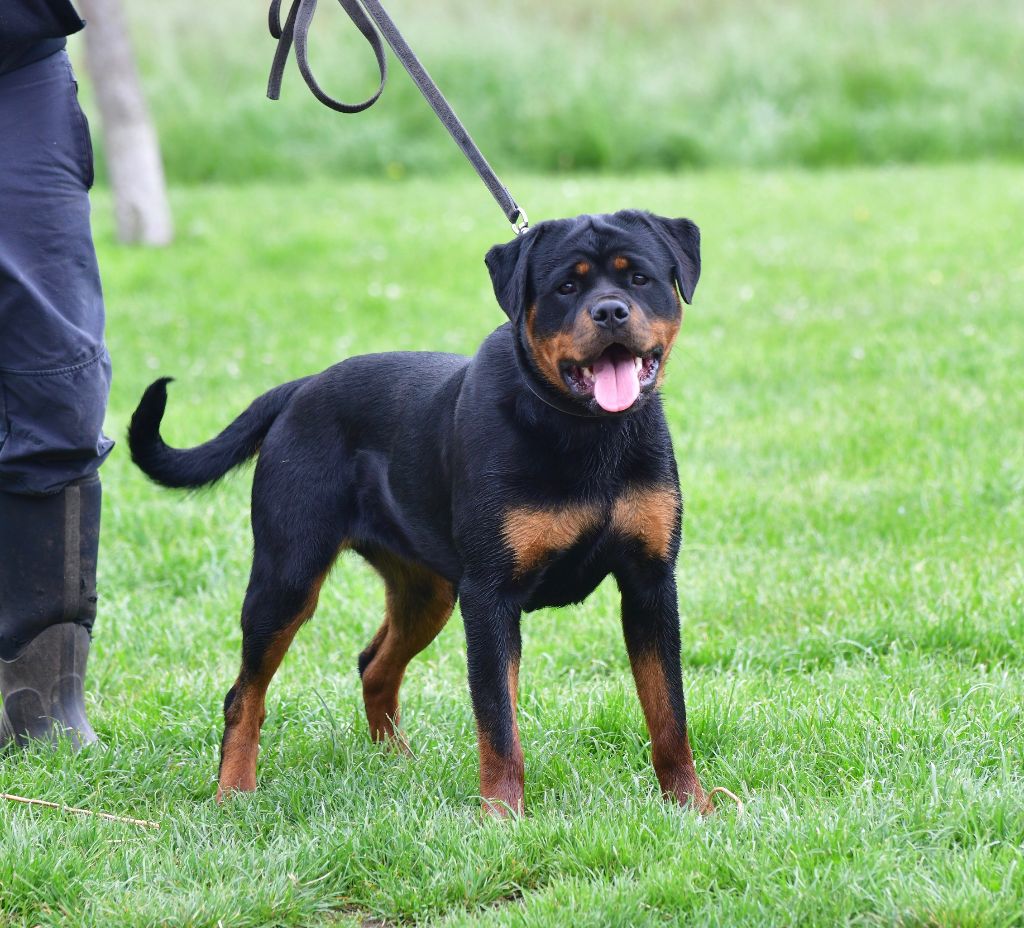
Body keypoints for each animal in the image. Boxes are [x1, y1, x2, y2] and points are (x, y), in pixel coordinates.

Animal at [125, 207, 704, 811]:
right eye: (566, 287)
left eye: (638, 278)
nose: (610, 310)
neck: (587, 434)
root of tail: (302, 388)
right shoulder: (490, 595)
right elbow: (499, 724)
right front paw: (503, 815)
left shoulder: (650, 582)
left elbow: (669, 713)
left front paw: (692, 806)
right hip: (286, 578)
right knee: (245, 693)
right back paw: (234, 792)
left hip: (426, 590)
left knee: (374, 666)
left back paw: (396, 764)